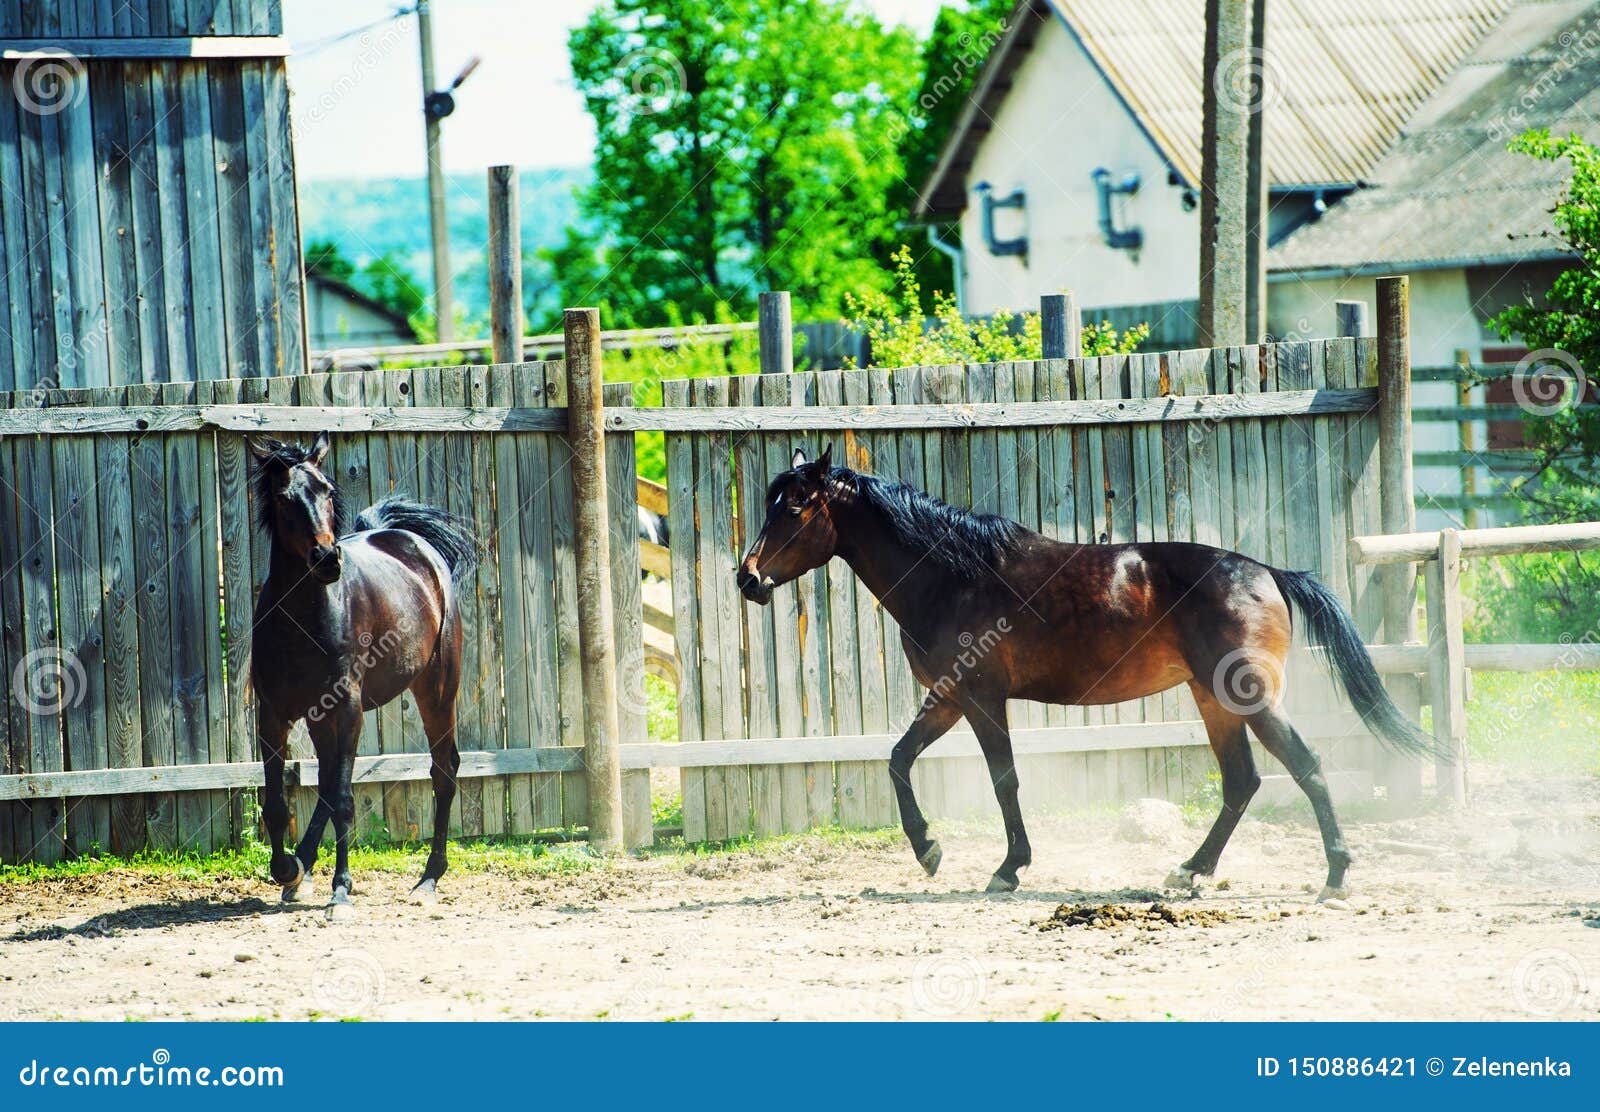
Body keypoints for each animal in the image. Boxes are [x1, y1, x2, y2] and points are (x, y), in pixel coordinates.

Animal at [249, 434, 480, 918]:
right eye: (283, 497)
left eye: (326, 491)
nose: (326, 559)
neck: (304, 619)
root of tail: (413, 544)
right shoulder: (274, 714)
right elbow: (279, 802)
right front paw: (287, 870)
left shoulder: (347, 707)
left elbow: (343, 799)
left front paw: (340, 891)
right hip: (322, 718)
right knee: (330, 781)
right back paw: (303, 868)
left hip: (436, 691)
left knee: (443, 771)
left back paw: (428, 879)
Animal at [737, 445, 1438, 900]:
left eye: (793, 508)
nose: (748, 578)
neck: (954, 573)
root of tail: (1267, 572)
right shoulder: (950, 696)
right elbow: (899, 759)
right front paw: (928, 850)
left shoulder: (982, 697)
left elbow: (1004, 780)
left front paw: (1007, 868)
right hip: (1214, 701)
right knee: (1242, 782)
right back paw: (1189, 872)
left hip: (1250, 699)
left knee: (1306, 767)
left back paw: (1335, 876)